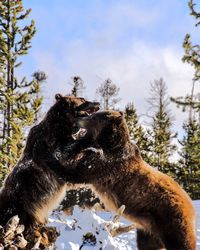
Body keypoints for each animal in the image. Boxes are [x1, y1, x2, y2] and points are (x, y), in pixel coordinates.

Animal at [57, 111, 196, 250]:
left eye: (93, 117)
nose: (78, 119)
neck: (107, 145)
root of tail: (190, 205)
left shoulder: (108, 166)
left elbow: (78, 172)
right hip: (148, 230)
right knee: (147, 245)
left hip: (170, 221)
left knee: (181, 242)